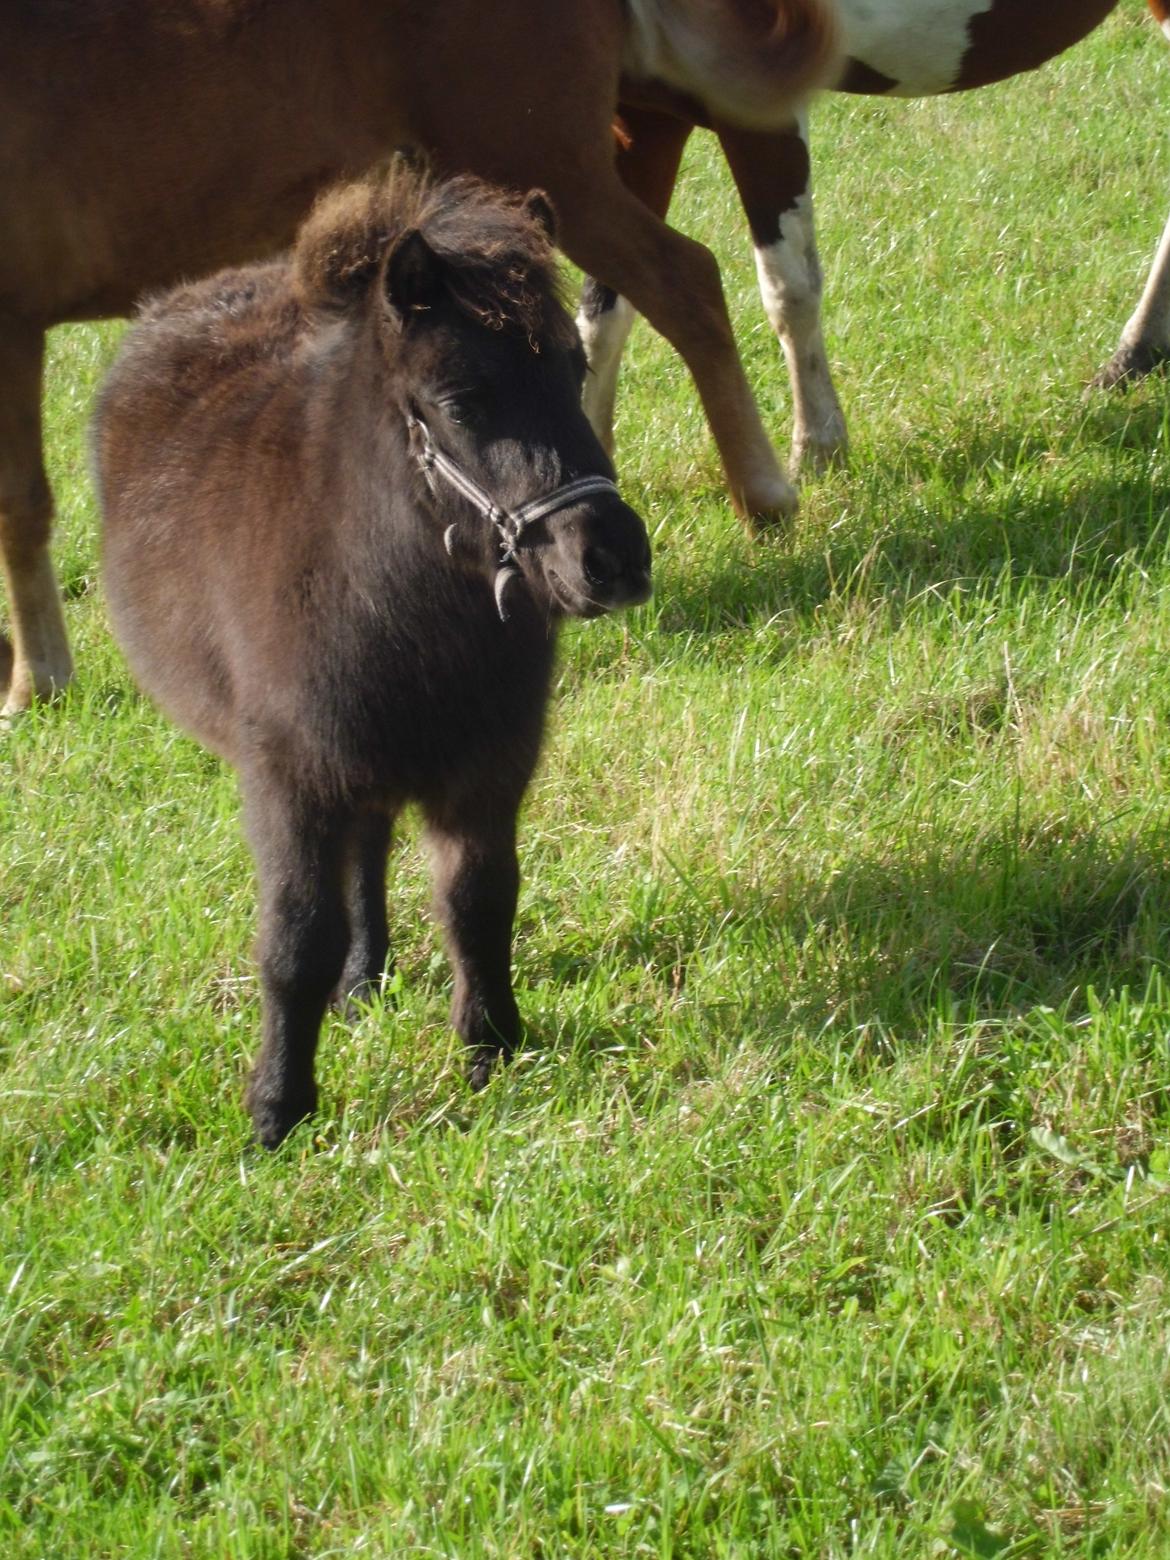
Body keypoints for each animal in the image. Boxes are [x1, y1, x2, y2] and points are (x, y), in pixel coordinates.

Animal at [93, 170, 661, 1148]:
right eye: (461, 399)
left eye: (574, 370)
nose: (613, 559)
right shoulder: (293, 777)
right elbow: (295, 941)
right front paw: (278, 1110)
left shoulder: (486, 770)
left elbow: (479, 902)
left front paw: (492, 1049)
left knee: (372, 846)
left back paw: (369, 979)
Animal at [583, 0, 1170, 471]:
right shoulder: (641, 119)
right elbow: (607, 308)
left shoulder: (759, 99)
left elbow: (789, 292)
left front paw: (818, 451)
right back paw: (1133, 357)